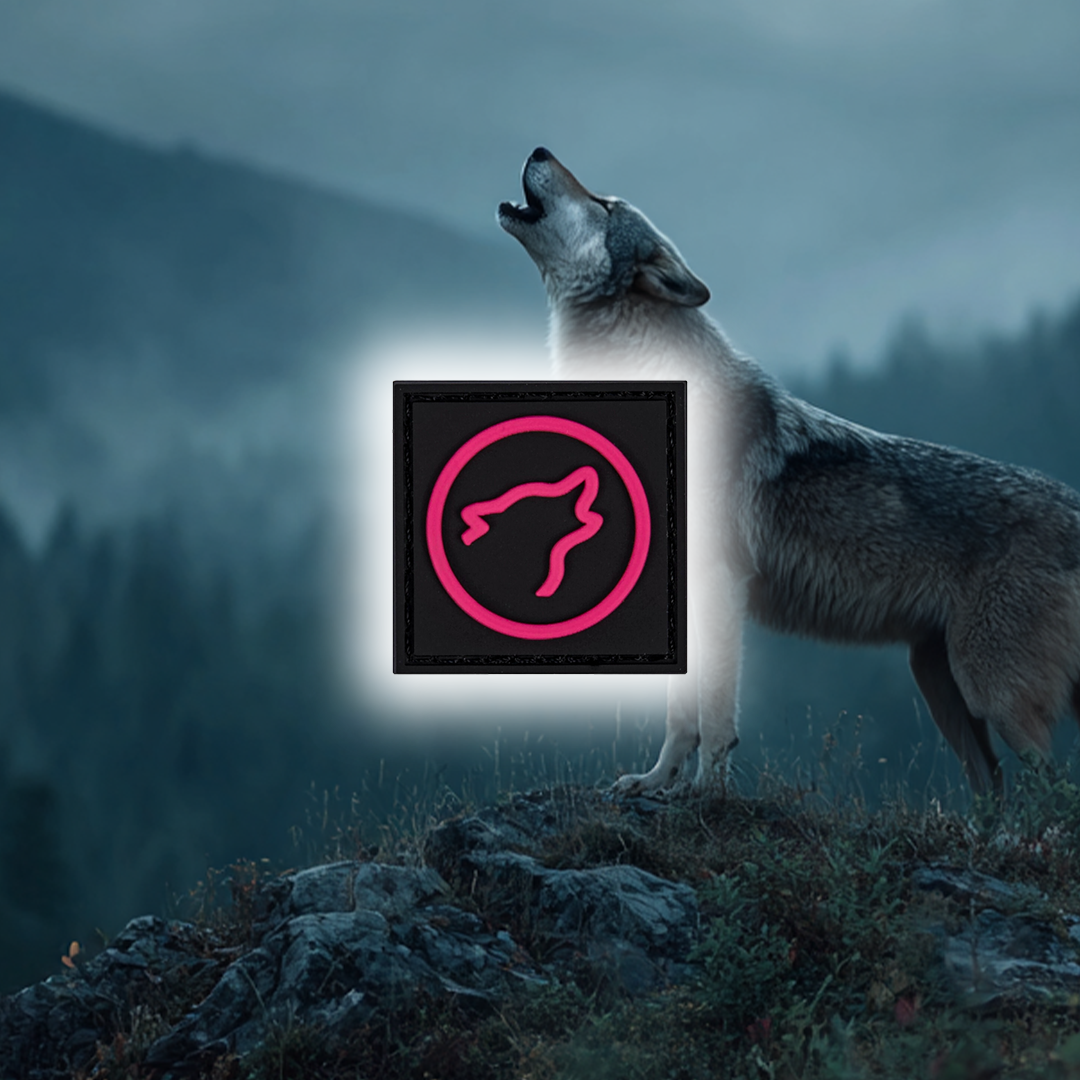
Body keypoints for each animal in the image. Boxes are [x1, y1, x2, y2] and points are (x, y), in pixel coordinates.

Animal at [498, 146, 1080, 797]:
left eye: (604, 203)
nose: (540, 149)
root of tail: (1075, 506)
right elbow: (679, 716)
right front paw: (656, 783)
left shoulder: (719, 585)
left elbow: (715, 713)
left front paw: (707, 795)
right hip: (944, 691)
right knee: (995, 790)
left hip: (993, 696)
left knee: (1054, 791)